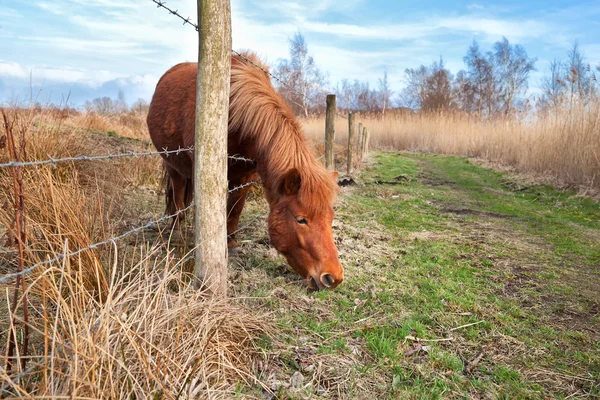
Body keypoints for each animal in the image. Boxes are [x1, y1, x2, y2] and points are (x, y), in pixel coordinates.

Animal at [146, 52, 342, 290]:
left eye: (331, 217)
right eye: (301, 219)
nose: (333, 277)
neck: (235, 117)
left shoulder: (245, 177)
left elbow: (235, 210)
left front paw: (230, 243)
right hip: (174, 166)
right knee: (178, 199)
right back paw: (177, 233)